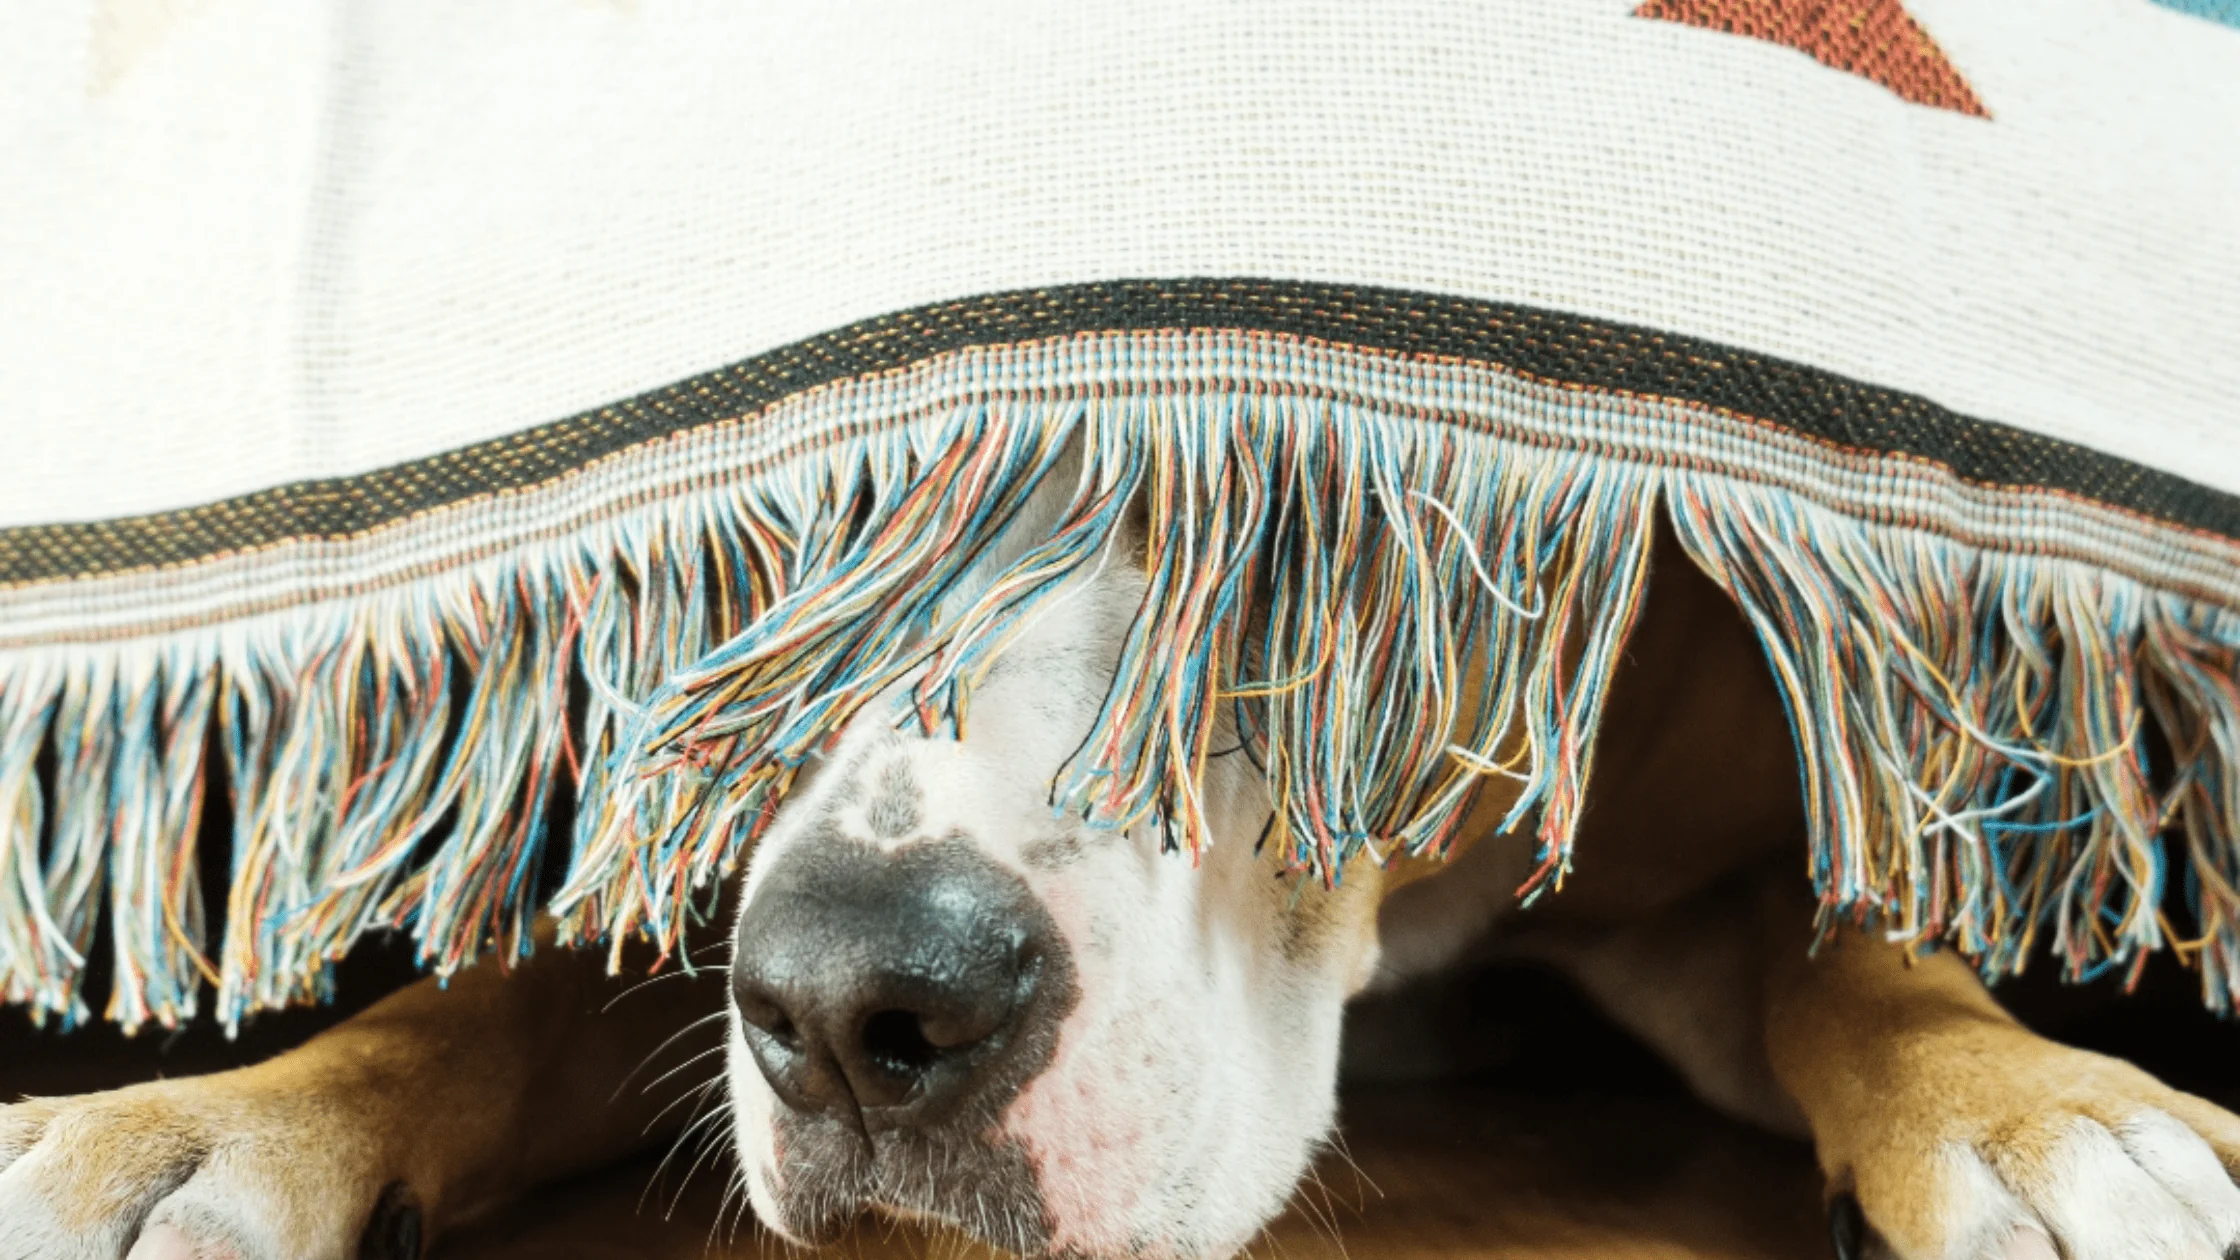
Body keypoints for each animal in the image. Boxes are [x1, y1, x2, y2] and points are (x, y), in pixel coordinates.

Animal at [4, 464, 2240, 1255]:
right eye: (807, 522)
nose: (857, 1005)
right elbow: (483, 1007)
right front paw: (201, 1131)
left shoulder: (1709, 862)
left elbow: (1867, 959)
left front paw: (2050, 1122)